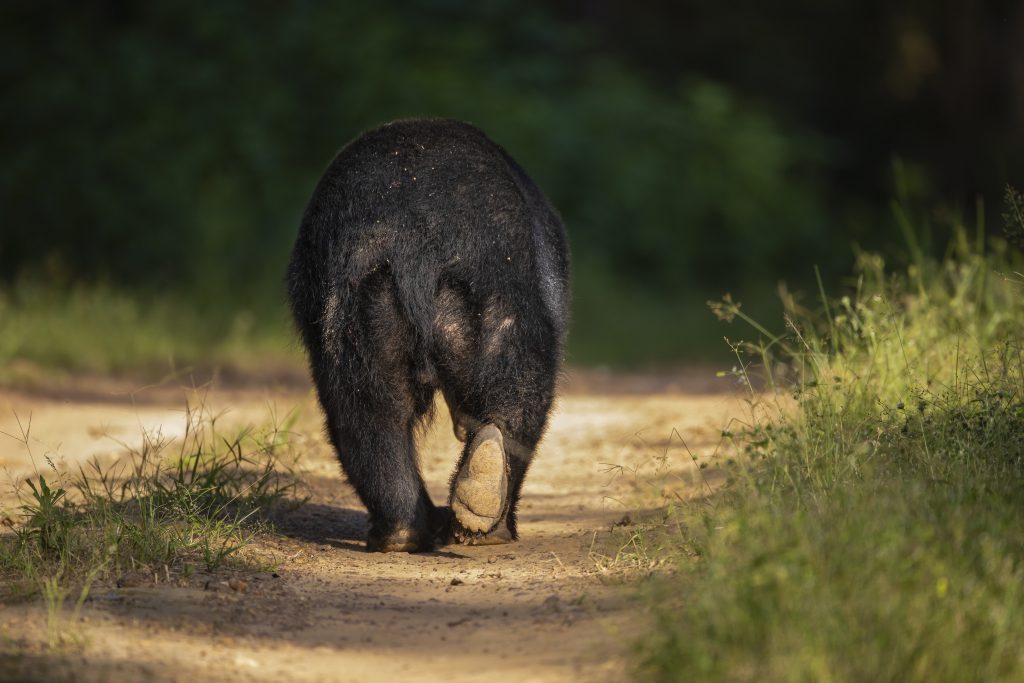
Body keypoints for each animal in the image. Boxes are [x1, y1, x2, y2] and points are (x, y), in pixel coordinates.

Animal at [288, 120, 573, 552]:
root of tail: (415, 236)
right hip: (499, 293)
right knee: (521, 385)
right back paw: (481, 518)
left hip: (362, 302)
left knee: (367, 406)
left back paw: (409, 529)